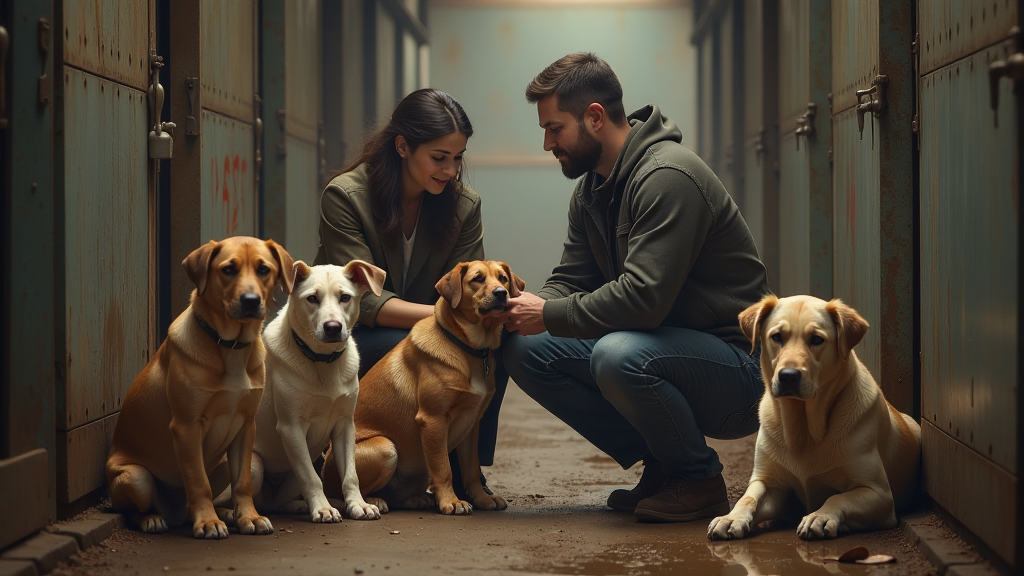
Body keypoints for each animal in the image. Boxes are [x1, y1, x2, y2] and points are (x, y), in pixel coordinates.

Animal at [106, 235, 294, 537]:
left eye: (264, 269)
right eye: (228, 269)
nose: (251, 300)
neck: (230, 347)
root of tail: (176, 515)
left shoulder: (246, 425)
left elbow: (242, 483)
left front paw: (249, 517)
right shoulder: (187, 426)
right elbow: (197, 481)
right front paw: (207, 522)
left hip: (231, 463)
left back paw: (225, 513)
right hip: (136, 478)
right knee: (132, 510)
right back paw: (153, 519)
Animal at [241, 259, 385, 520]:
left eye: (345, 297)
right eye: (312, 298)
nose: (333, 327)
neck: (323, 362)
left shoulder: (345, 424)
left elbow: (350, 475)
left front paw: (357, 504)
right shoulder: (291, 427)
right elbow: (311, 478)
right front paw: (323, 508)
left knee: (273, 502)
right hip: (255, 466)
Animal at [321, 258, 524, 512]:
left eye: (502, 279)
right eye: (477, 279)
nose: (501, 293)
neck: (468, 349)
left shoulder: (471, 424)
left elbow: (471, 470)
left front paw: (481, 498)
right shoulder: (433, 419)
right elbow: (443, 468)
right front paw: (451, 501)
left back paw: (414, 498)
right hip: (385, 447)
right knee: (343, 492)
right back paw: (373, 501)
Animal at [708, 293, 925, 541]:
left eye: (817, 339)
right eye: (776, 336)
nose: (788, 376)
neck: (803, 428)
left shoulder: (878, 493)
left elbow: (837, 497)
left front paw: (819, 516)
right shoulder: (767, 482)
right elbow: (748, 498)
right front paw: (730, 518)